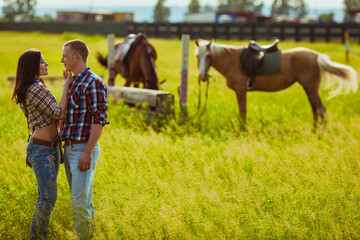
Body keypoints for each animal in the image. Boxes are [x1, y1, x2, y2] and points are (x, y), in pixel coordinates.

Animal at [195, 39, 358, 126]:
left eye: (208, 56)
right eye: (197, 56)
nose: (202, 76)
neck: (232, 60)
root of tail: (317, 56)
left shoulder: (240, 90)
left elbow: (242, 112)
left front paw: (243, 130)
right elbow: (243, 112)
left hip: (311, 89)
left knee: (321, 109)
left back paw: (320, 135)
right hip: (309, 89)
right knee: (315, 110)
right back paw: (314, 132)